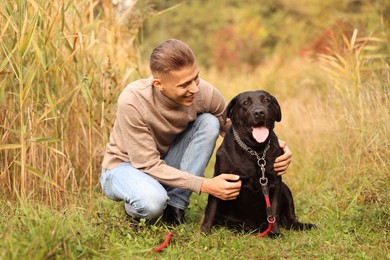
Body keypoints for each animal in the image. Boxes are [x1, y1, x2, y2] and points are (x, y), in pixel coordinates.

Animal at [201, 90, 316, 237]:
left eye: (266, 100)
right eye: (245, 103)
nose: (259, 112)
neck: (257, 151)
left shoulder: (275, 183)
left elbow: (273, 211)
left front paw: (274, 232)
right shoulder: (221, 181)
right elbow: (211, 208)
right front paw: (205, 231)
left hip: (286, 189)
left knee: (290, 219)